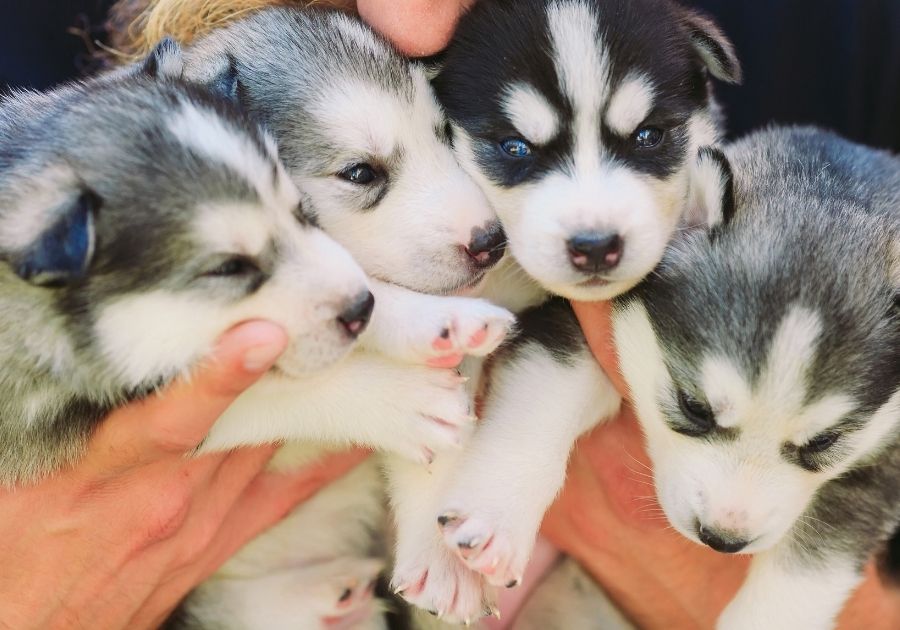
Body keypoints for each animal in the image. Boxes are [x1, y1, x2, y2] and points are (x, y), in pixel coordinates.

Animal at [388, 0, 744, 624]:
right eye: (514, 147)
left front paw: (496, 512)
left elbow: (550, 391)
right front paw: (443, 561)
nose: (596, 245)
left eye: (649, 136)